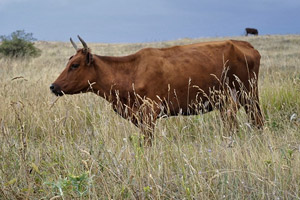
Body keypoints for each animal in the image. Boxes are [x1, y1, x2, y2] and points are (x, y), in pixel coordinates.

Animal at [50, 36, 264, 144]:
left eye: (75, 65)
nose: (53, 86)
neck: (131, 71)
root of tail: (243, 44)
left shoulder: (149, 113)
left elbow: (148, 143)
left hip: (244, 96)